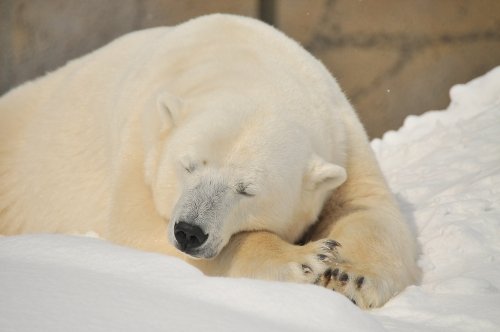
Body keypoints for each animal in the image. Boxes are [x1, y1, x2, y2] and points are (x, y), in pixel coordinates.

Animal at [0, 14, 420, 308]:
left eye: (247, 190)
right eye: (188, 165)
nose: (189, 232)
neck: (241, 58)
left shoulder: (342, 137)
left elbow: (367, 208)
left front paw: (349, 275)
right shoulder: (141, 135)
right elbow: (137, 227)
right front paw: (306, 261)